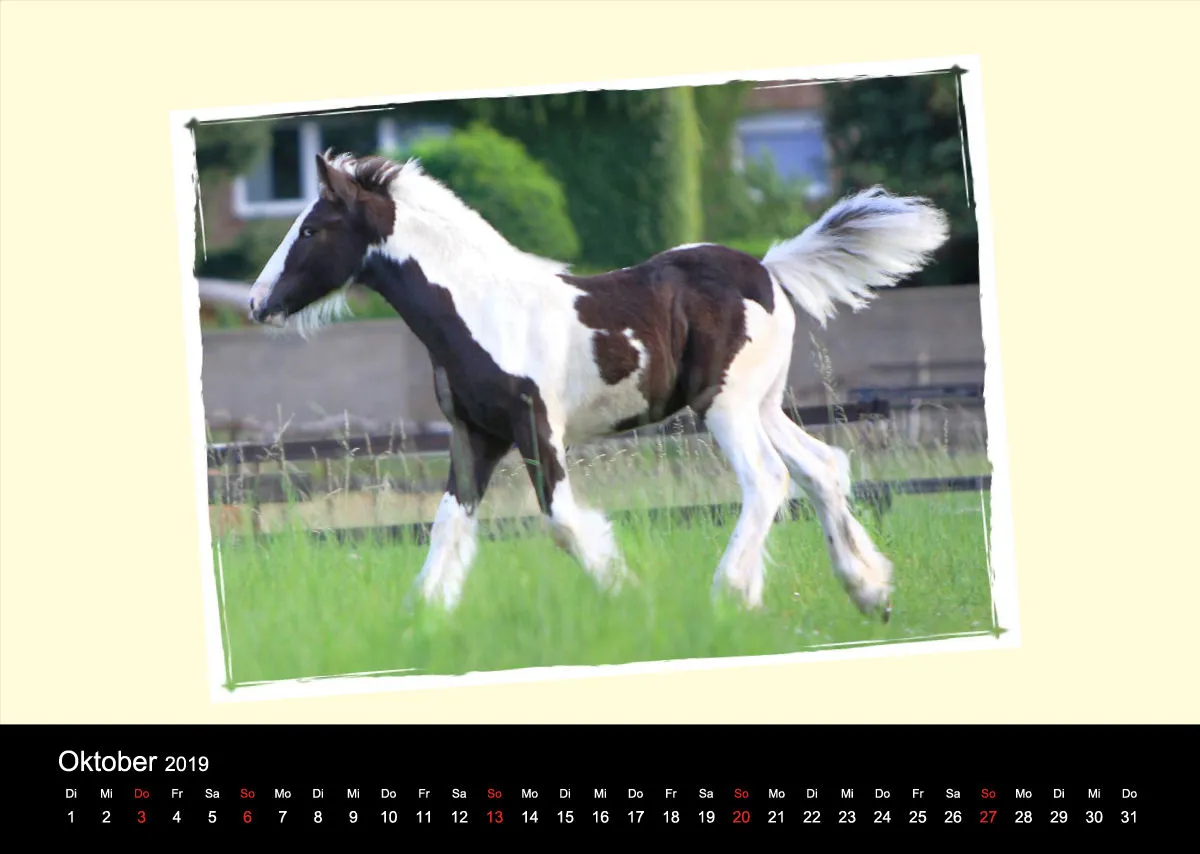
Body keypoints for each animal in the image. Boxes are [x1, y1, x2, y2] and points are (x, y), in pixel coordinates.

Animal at [246, 150, 949, 622]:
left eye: (310, 229)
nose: (256, 303)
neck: (481, 309)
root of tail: (768, 268)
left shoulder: (536, 425)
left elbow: (560, 521)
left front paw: (631, 595)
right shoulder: (475, 434)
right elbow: (448, 523)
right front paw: (423, 621)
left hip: (724, 406)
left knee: (768, 479)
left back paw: (732, 595)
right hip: (762, 404)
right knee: (823, 467)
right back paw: (871, 593)